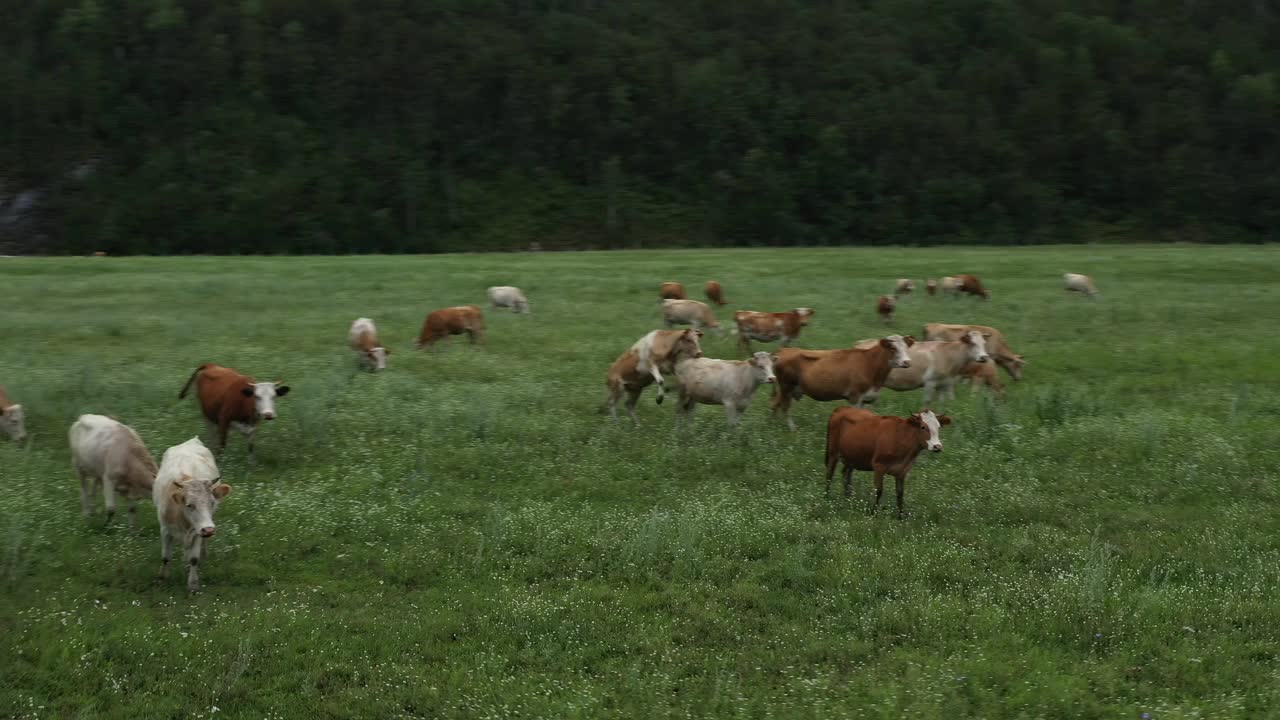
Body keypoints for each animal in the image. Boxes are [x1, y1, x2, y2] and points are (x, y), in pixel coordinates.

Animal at [152, 435, 230, 591]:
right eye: (189, 505)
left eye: (212, 503)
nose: (209, 529)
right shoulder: (165, 530)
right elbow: (165, 557)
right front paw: (162, 578)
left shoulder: (198, 530)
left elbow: (194, 559)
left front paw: (193, 584)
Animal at [762, 333, 916, 427]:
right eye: (892, 347)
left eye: (906, 347)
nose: (907, 362)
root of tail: (783, 350)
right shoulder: (855, 397)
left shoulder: (867, 398)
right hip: (785, 386)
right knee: (781, 405)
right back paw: (788, 429)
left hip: (790, 389)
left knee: (778, 405)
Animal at [824, 404, 957, 515]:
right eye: (923, 427)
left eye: (939, 427)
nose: (937, 446)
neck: (901, 437)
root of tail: (842, 408)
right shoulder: (879, 466)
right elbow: (878, 491)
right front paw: (873, 513)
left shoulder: (903, 470)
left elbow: (900, 493)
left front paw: (901, 516)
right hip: (833, 452)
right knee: (829, 475)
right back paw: (826, 498)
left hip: (852, 456)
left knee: (846, 474)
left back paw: (848, 498)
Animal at [860, 330, 988, 404]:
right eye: (972, 343)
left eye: (984, 343)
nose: (984, 357)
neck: (947, 355)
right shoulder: (930, 382)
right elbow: (927, 403)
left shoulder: (943, 385)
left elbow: (942, 404)